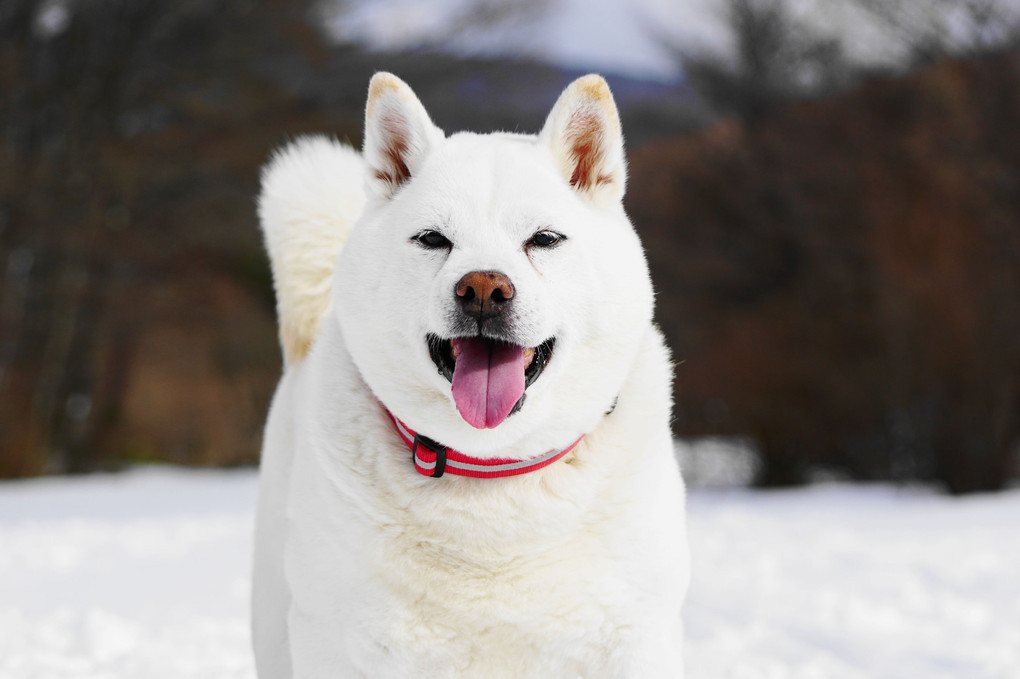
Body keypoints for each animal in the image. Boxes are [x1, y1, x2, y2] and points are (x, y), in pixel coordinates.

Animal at [250, 71, 689, 672]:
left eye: (544, 239)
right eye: (433, 239)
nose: (483, 288)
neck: (490, 472)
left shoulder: (634, 638)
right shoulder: (338, 641)